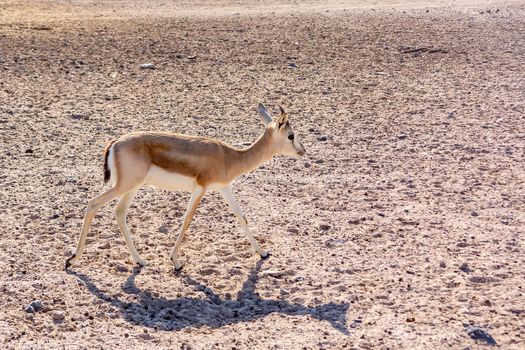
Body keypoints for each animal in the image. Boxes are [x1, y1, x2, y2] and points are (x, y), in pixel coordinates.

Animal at [64, 102, 308, 270]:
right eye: (291, 135)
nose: (303, 151)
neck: (229, 157)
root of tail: (115, 142)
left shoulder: (224, 187)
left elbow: (242, 217)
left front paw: (263, 252)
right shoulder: (200, 189)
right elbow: (186, 221)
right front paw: (176, 262)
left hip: (131, 187)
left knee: (119, 212)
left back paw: (140, 260)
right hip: (124, 185)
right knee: (92, 204)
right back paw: (72, 259)